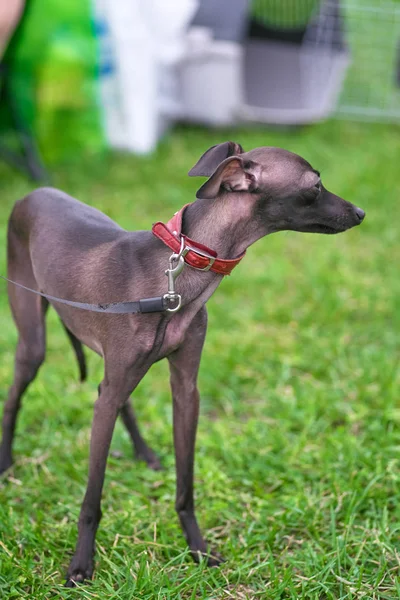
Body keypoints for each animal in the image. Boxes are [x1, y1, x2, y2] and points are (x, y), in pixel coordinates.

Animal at [0, 143, 364, 584]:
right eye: (314, 187)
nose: (361, 212)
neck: (173, 279)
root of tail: (30, 194)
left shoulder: (186, 390)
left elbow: (185, 486)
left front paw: (198, 549)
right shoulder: (117, 381)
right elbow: (91, 498)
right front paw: (81, 565)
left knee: (117, 397)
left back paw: (144, 453)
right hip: (33, 340)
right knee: (19, 396)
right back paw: (5, 462)